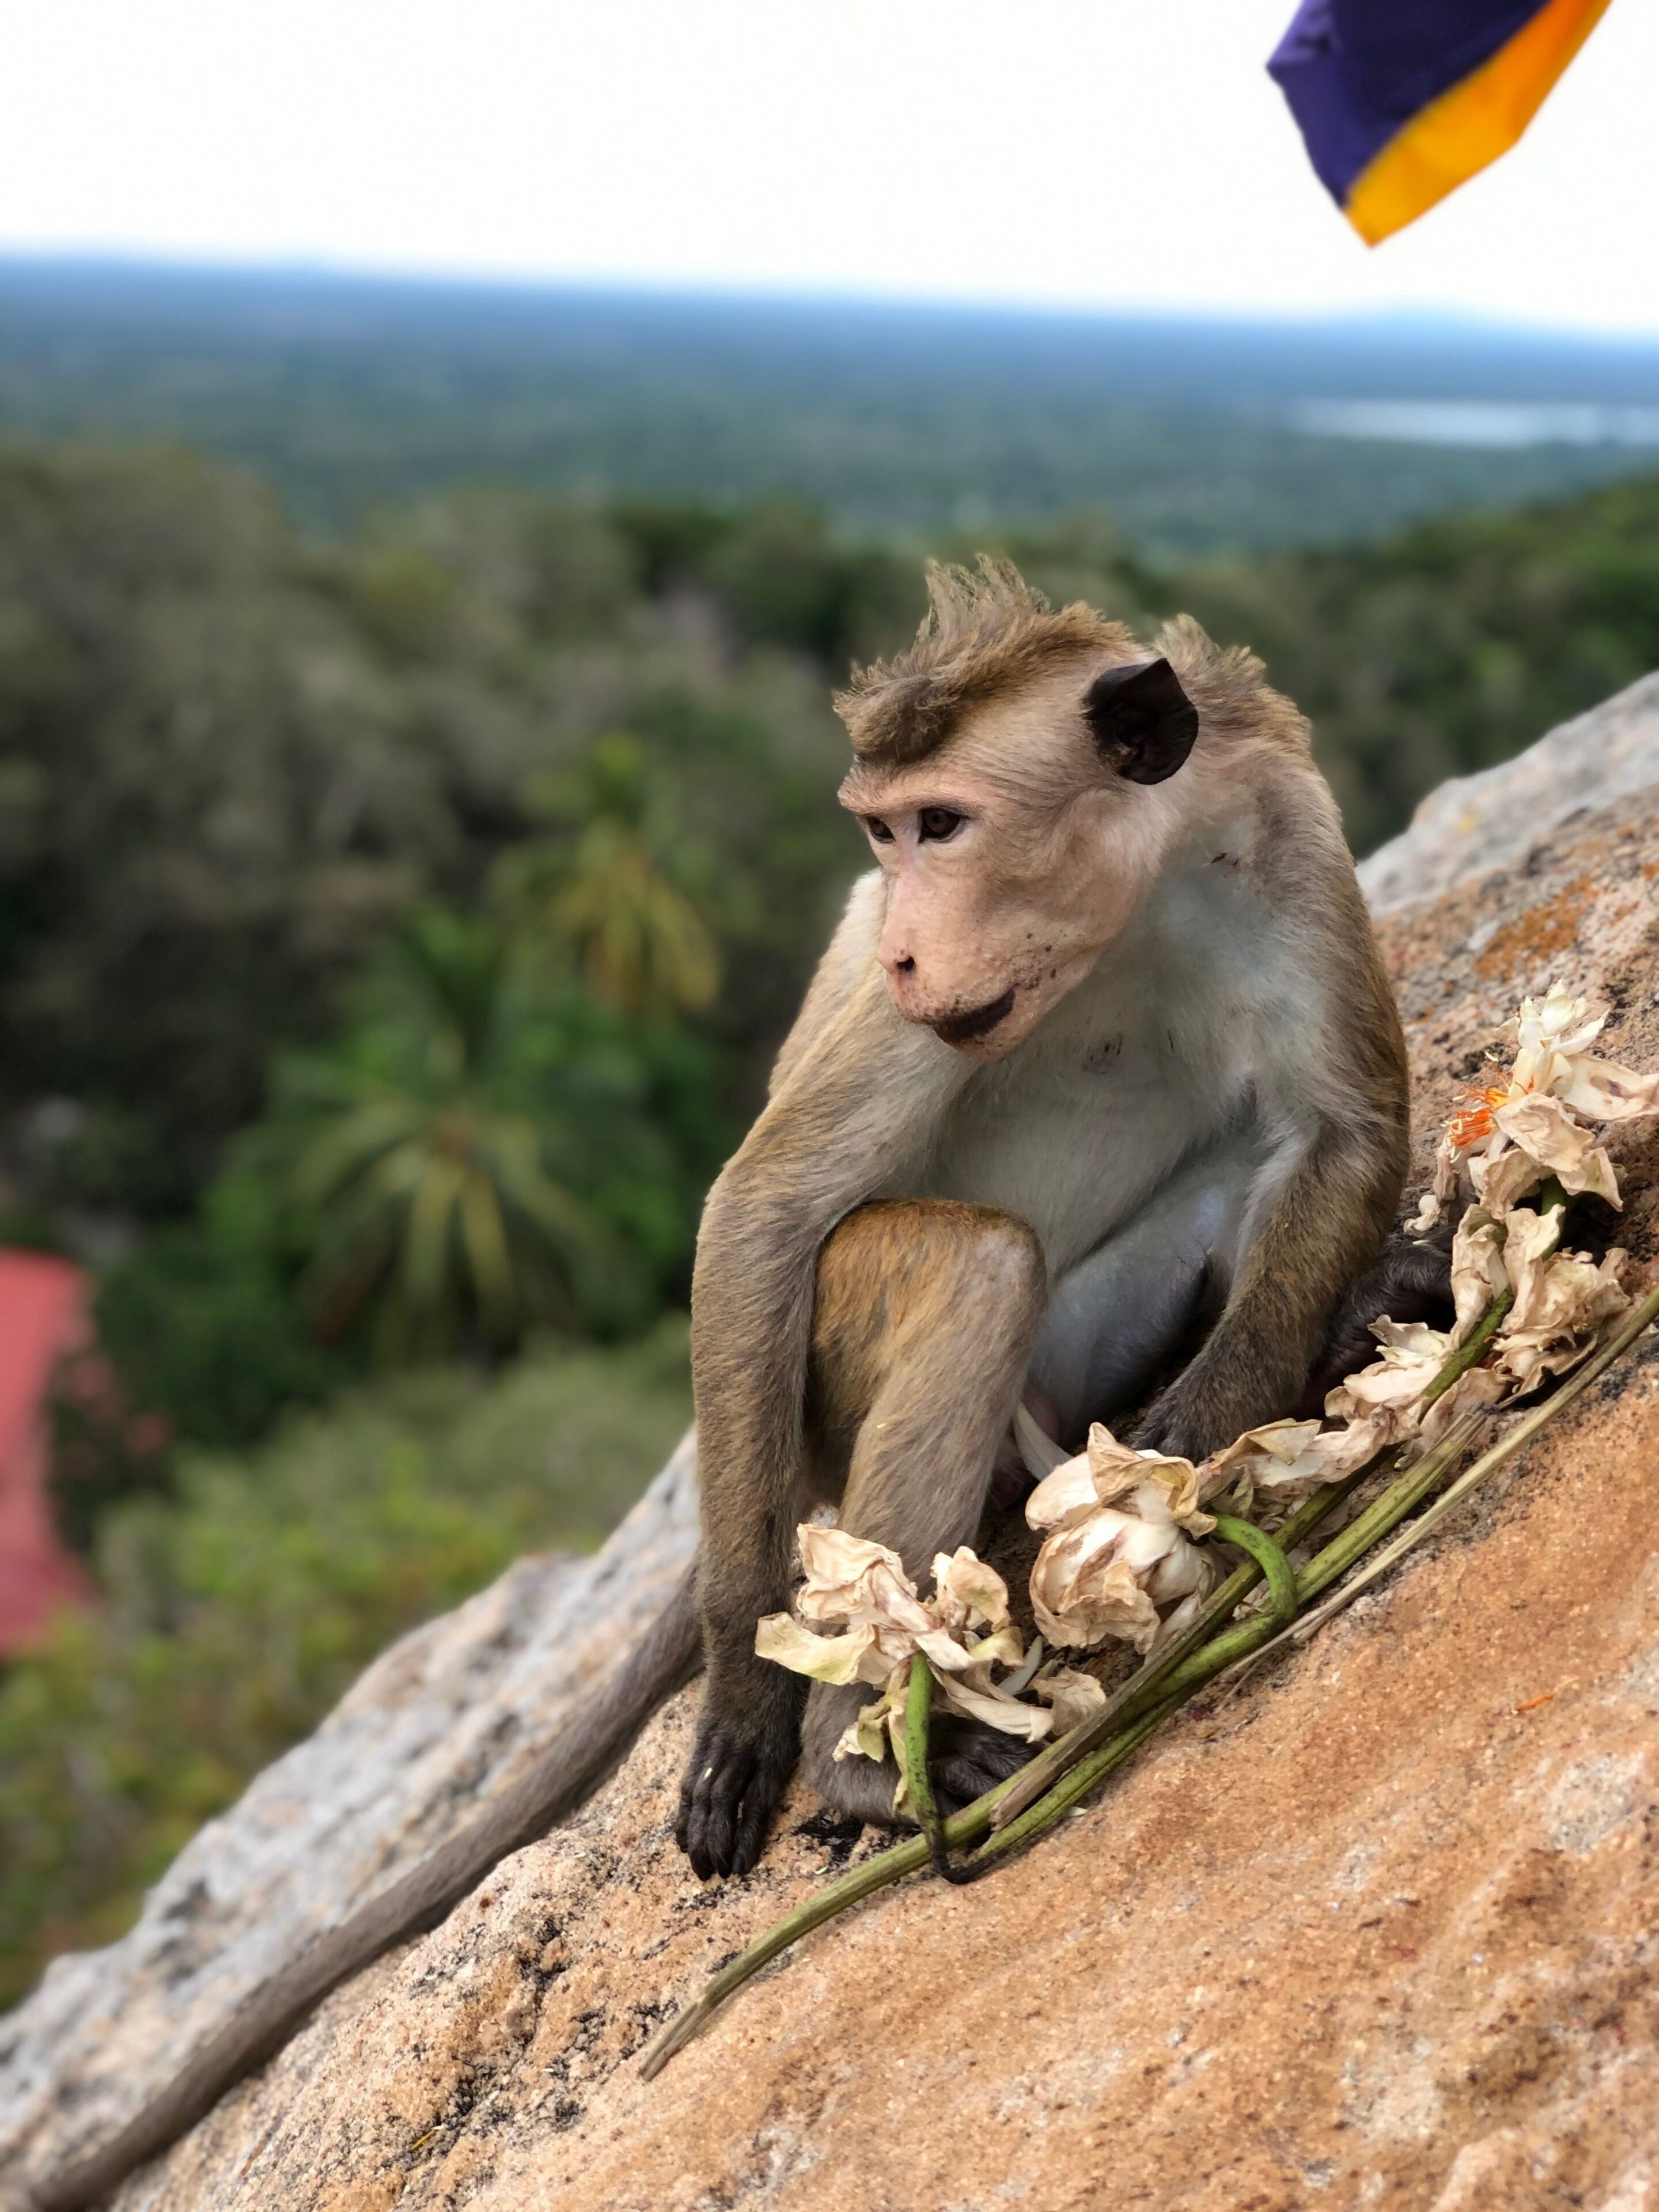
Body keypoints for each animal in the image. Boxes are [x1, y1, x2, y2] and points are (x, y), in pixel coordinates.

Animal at [27, 560, 1423, 2211]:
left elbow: (1340, 1132)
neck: (1125, 913)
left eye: (943, 821)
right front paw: (753, 1702)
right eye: (883, 834)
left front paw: (1204, 1447)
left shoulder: (1283, 839)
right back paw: (861, 1759)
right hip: (822, 1390)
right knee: (974, 1271)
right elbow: (763, 1211)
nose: (906, 942)